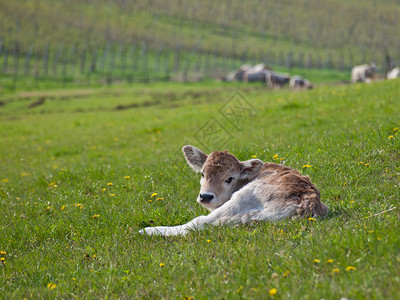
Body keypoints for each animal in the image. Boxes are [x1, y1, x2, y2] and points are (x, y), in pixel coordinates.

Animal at [140, 146, 328, 237]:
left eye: (229, 178)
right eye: (202, 173)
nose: (206, 196)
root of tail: (306, 203)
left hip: (243, 198)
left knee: (198, 223)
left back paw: (149, 231)